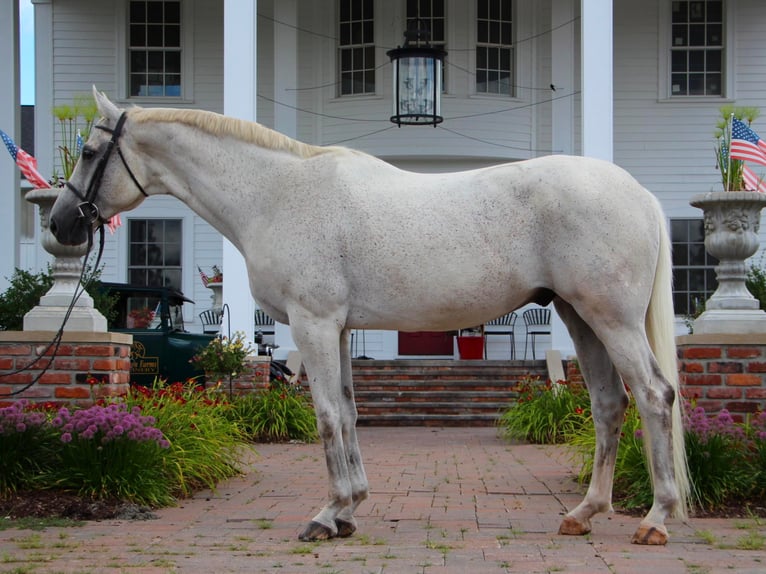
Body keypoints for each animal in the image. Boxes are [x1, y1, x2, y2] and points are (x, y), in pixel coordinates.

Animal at [51, 88, 692, 548]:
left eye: (88, 153)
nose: (61, 223)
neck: (276, 193)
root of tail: (638, 192)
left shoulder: (311, 323)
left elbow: (327, 416)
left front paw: (326, 515)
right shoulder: (335, 328)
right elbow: (350, 413)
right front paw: (351, 508)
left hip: (611, 319)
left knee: (654, 395)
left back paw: (654, 519)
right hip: (580, 317)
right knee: (609, 404)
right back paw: (584, 514)